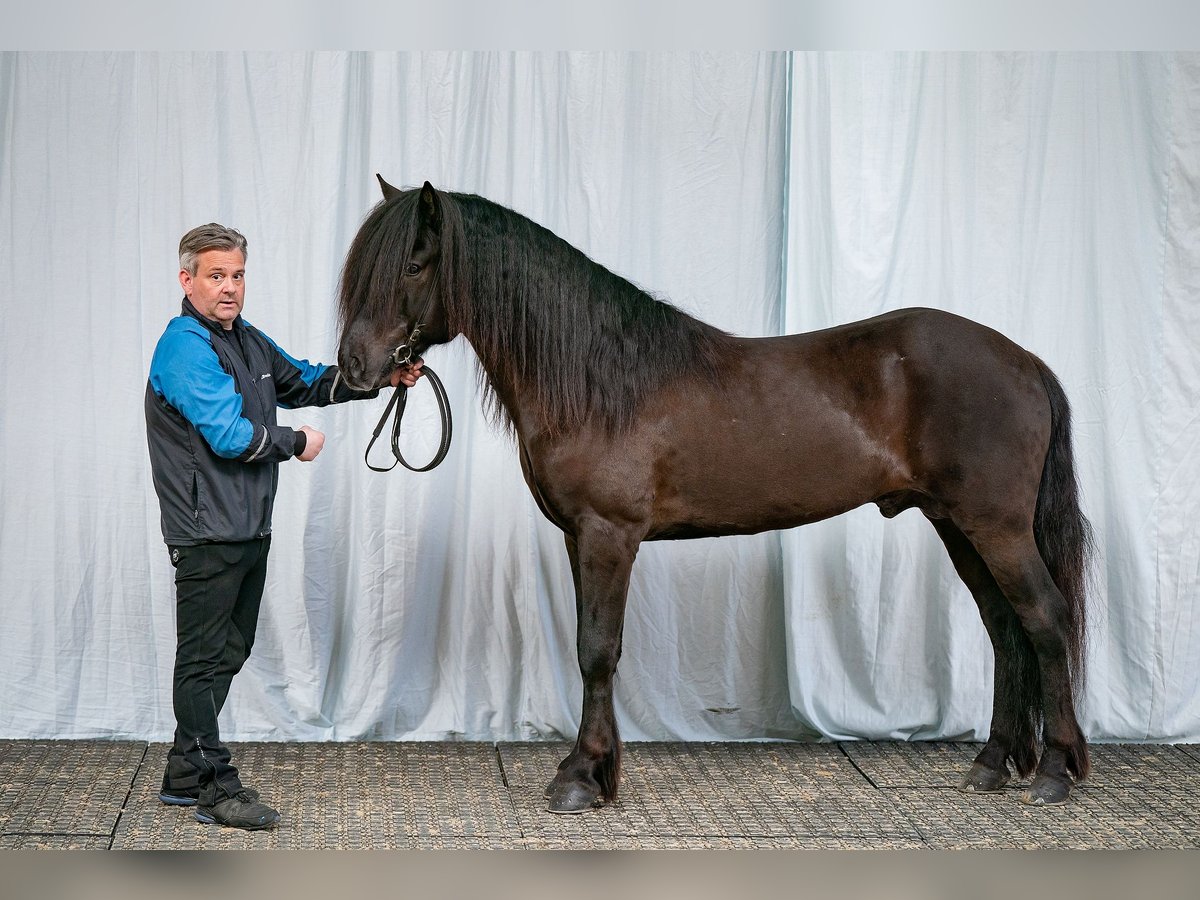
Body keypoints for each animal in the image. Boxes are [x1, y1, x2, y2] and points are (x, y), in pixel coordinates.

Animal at [333, 180, 1094, 816]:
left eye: (412, 265)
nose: (353, 369)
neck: (599, 381)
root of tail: (1026, 362)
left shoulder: (609, 534)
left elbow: (596, 651)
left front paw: (580, 779)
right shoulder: (580, 537)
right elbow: (592, 647)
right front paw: (596, 772)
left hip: (995, 527)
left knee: (1046, 619)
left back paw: (1056, 771)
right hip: (959, 527)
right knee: (1004, 629)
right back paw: (992, 764)